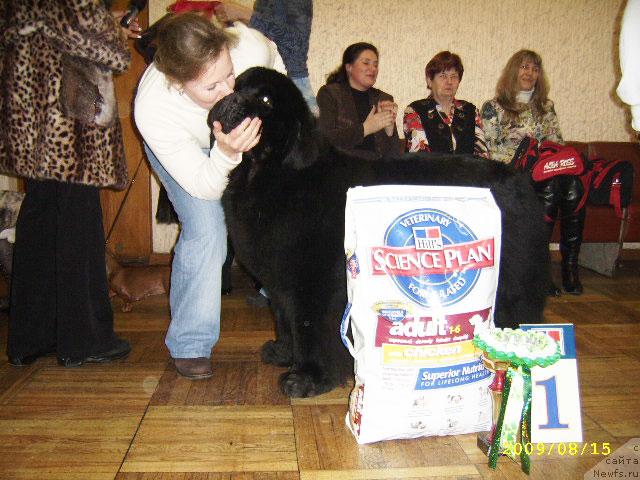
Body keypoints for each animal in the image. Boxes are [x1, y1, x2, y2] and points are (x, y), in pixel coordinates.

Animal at [211, 66, 552, 398]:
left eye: (266, 100)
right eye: (234, 86)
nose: (230, 101)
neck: (271, 173)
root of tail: (521, 178)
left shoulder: (312, 282)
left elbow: (308, 327)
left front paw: (306, 378)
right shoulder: (279, 276)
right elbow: (283, 317)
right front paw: (282, 352)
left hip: (509, 281)